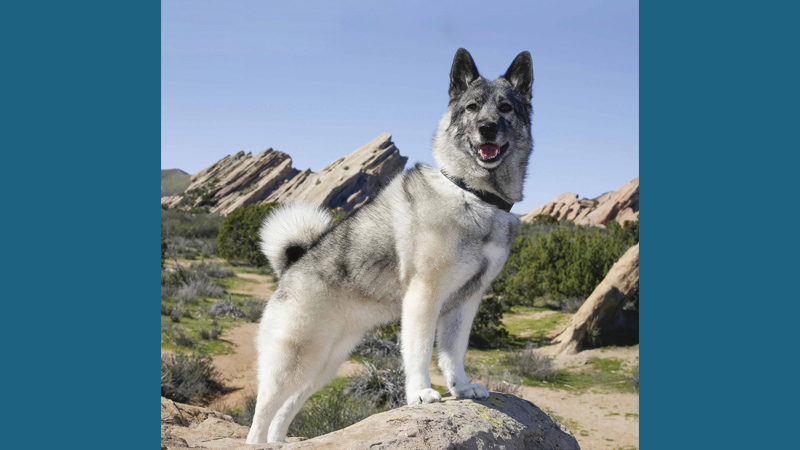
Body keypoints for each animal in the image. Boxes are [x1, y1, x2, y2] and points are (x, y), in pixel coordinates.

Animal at [244, 48, 532, 442]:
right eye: (472, 107)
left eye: (505, 107)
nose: (487, 127)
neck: (473, 194)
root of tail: (291, 266)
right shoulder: (425, 294)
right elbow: (420, 348)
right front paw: (421, 392)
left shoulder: (466, 301)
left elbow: (453, 351)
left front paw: (461, 387)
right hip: (293, 359)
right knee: (262, 413)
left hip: (323, 364)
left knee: (285, 411)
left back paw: (280, 442)